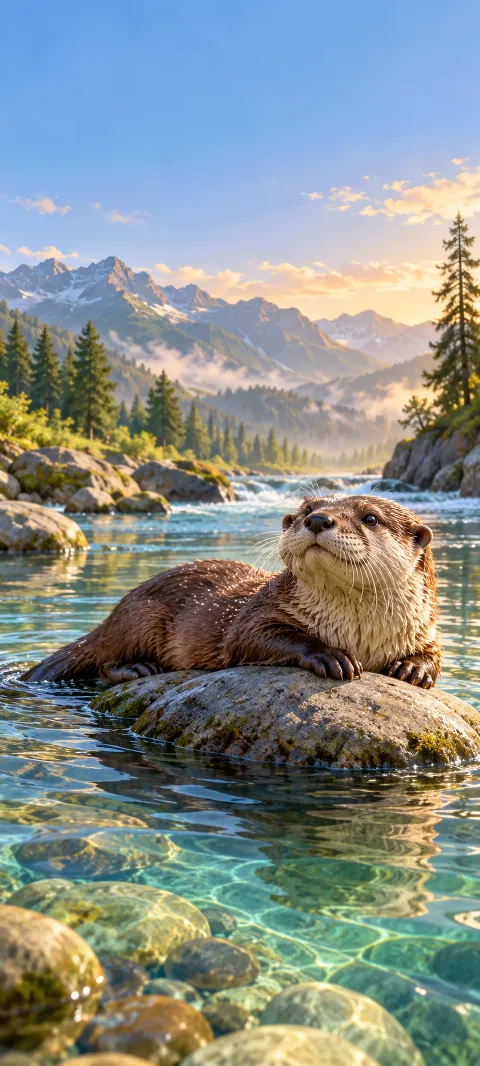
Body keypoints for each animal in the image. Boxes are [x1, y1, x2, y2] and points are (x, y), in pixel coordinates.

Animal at [23, 494, 440, 689]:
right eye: (307, 508)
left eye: (370, 517)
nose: (318, 519)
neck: (360, 634)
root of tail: (110, 617)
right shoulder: (258, 612)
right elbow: (249, 638)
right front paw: (329, 655)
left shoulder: (425, 627)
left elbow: (434, 653)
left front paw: (413, 668)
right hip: (141, 616)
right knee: (104, 661)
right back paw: (137, 668)